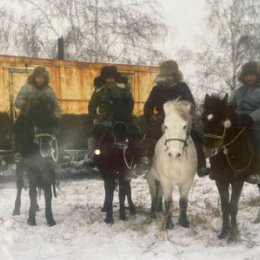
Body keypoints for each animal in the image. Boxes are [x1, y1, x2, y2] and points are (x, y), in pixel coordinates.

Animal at [12, 94, 58, 226]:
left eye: (52, 125)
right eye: (37, 127)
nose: (47, 150)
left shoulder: (47, 169)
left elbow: (47, 192)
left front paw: (50, 219)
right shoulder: (31, 168)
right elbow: (32, 193)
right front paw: (31, 219)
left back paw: (36, 207)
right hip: (19, 166)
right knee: (20, 185)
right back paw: (16, 208)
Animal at [146, 99, 197, 230]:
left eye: (184, 126)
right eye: (166, 126)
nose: (174, 153)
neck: (177, 163)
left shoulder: (187, 181)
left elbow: (183, 201)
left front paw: (183, 221)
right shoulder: (166, 181)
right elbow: (168, 201)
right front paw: (167, 223)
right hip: (151, 178)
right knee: (153, 195)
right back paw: (152, 214)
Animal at [202, 94, 255, 243]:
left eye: (221, 121)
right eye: (203, 119)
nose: (208, 151)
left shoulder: (238, 181)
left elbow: (233, 206)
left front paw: (233, 235)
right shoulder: (220, 180)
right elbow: (225, 206)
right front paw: (224, 232)